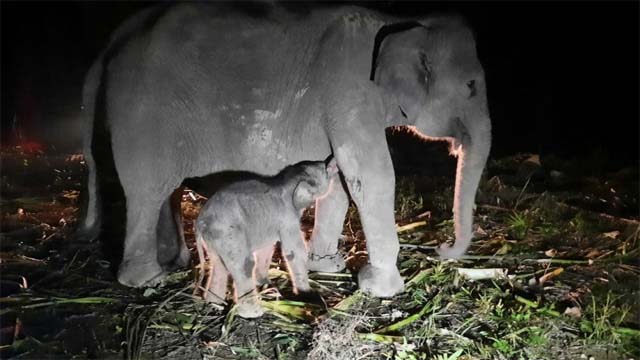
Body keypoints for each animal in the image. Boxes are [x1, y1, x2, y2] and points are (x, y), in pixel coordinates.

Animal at [79, 2, 490, 298]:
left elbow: (338, 180)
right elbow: (370, 175)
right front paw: (379, 286)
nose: (442, 248)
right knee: (147, 189)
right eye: (471, 86)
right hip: (143, 112)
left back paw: (174, 262)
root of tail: (110, 44)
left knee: (167, 188)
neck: (399, 22)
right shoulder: (348, 89)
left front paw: (329, 265)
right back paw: (147, 279)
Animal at [196, 159, 340, 316]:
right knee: (244, 266)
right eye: (324, 169)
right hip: (229, 235)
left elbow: (266, 249)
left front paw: (265, 284)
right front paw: (307, 296)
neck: (286, 182)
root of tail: (201, 222)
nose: (333, 161)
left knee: (219, 267)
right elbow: (294, 252)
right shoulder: (287, 219)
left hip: (215, 240)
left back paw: (214, 305)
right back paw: (255, 313)